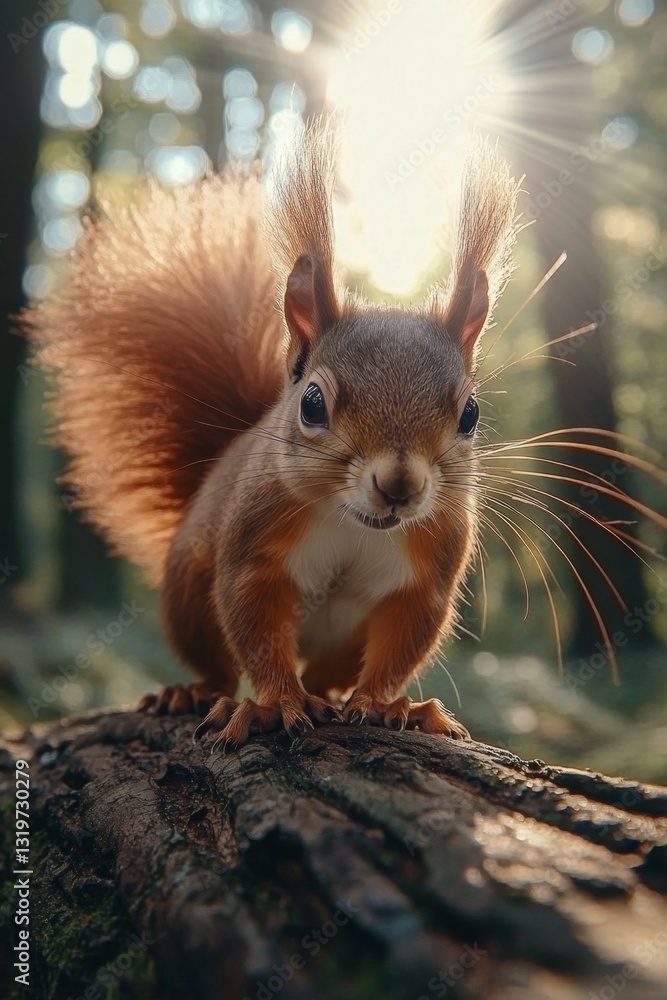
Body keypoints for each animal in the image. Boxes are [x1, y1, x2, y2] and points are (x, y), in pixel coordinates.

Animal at [25, 122, 519, 748]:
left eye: (470, 414)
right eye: (312, 404)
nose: (400, 486)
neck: (351, 520)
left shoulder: (429, 567)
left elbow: (404, 641)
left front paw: (390, 705)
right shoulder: (254, 544)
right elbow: (255, 624)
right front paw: (277, 703)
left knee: (329, 677)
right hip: (189, 597)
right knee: (218, 665)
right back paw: (191, 692)